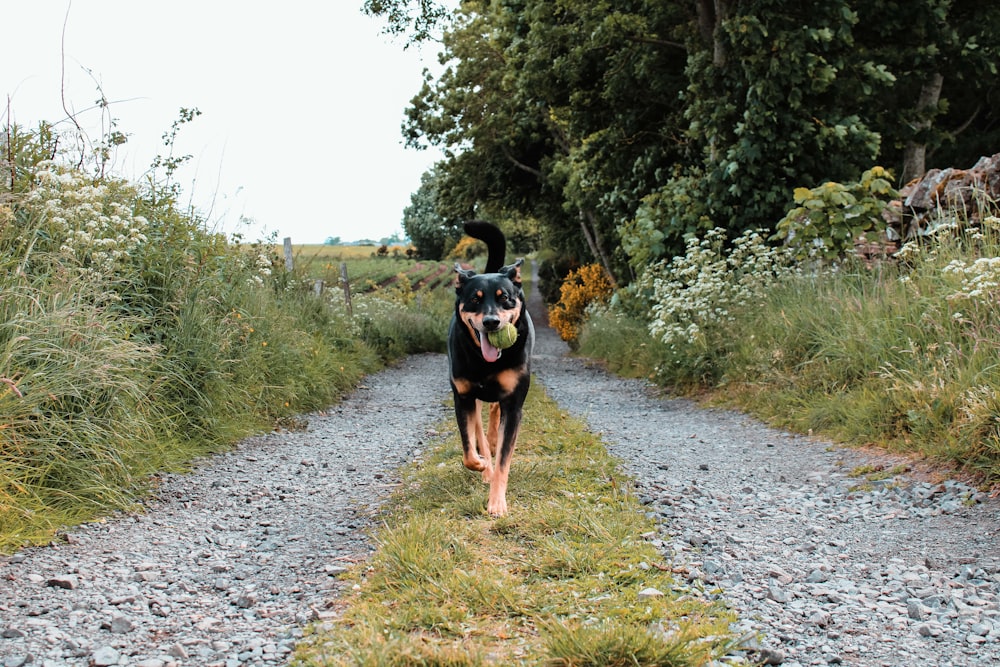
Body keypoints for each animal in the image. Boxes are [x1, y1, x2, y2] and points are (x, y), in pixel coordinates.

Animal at [450, 222, 536, 520]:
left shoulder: (514, 404)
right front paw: (481, 465)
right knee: (479, 428)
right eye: (474, 300)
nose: (491, 322)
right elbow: (468, 449)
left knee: (494, 415)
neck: (485, 361)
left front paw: (497, 502)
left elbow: (503, 461)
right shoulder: (462, 396)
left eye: (505, 298)